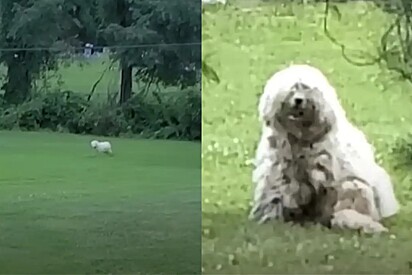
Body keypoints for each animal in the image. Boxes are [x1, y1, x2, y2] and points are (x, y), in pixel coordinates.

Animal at [251, 64, 400, 233]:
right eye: (292, 89)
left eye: (306, 89)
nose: (298, 100)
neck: (301, 138)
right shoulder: (281, 174)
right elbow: (277, 195)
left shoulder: (325, 178)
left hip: (353, 187)